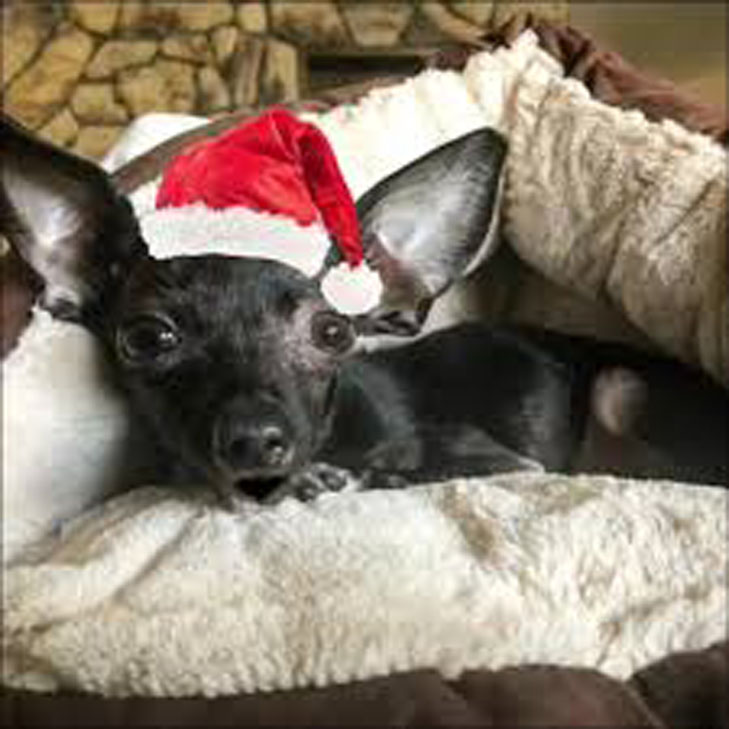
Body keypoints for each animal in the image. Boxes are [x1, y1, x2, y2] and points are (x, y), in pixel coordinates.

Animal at [2, 112, 724, 506]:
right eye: (149, 338)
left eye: (330, 332)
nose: (255, 438)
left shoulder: (512, 465)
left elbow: (392, 472)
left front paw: (337, 476)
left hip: (616, 387)